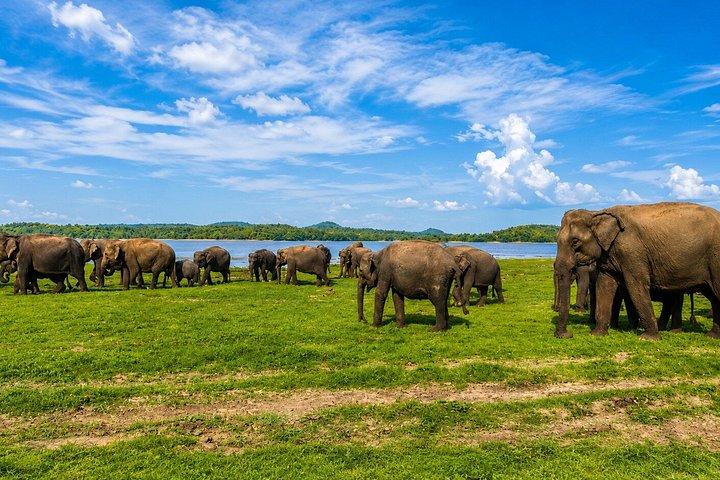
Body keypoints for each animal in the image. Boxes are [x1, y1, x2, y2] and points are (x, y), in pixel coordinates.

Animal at [554, 203, 720, 340]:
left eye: (575, 242)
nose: (566, 335)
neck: (597, 213)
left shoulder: (633, 252)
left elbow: (635, 285)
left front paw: (648, 338)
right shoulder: (609, 254)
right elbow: (604, 284)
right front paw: (597, 334)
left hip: (715, 258)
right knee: (713, 296)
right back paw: (711, 336)